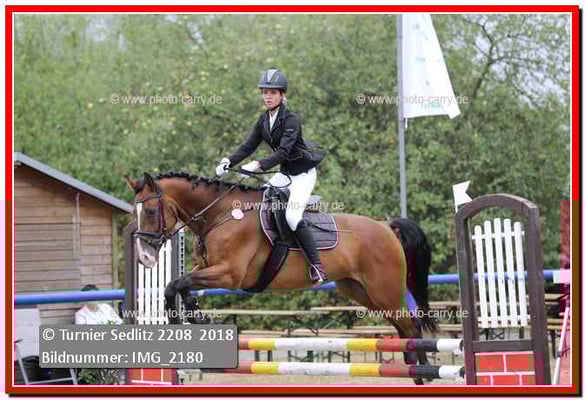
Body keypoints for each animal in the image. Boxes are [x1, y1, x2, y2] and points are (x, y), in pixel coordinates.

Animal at [125, 171, 437, 384]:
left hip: (384, 289)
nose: (145, 258)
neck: (221, 215)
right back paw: (414, 371)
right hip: (361, 291)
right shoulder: (207, 269)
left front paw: (183, 317)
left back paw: (424, 371)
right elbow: (181, 284)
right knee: (403, 328)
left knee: (411, 326)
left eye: (151, 210)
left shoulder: (229, 274)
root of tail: (386, 226)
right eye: (134, 213)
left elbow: (176, 283)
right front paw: (194, 316)